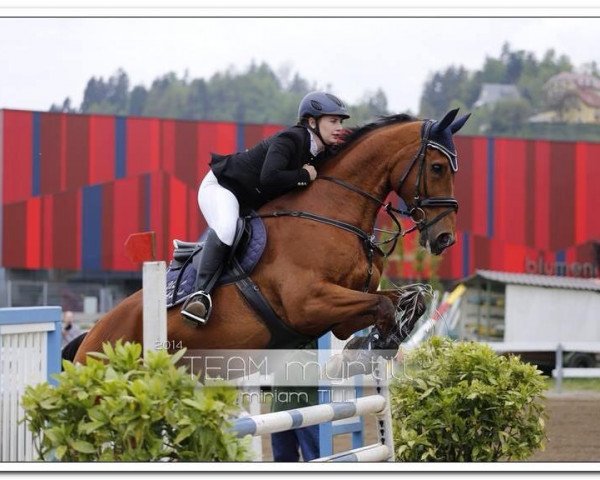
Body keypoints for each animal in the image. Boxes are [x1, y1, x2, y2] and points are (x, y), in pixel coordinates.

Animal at [72, 109, 468, 364]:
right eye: (437, 167)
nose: (445, 238)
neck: (333, 214)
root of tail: (89, 335)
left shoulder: (344, 309)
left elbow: (412, 298)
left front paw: (378, 340)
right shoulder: (308, 303)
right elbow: (385, 306)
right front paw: (376, 344)